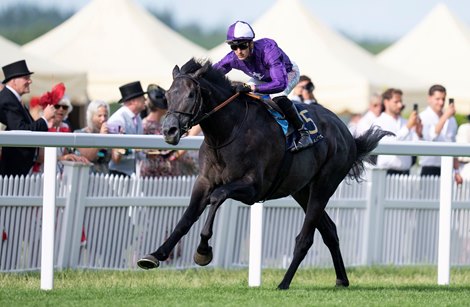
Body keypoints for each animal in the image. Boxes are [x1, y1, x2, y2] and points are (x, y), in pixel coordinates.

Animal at [137, 58, 392, 292]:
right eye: (167, 95)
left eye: (191, 95)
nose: (169, 131)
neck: (226, 132)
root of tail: (347, 133)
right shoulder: (204, 181)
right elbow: (187, 218)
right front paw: (155, 255)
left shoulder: (252, 187)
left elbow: (217, 197)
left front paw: (203, 251)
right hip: (302, 190)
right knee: (329, 231)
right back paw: (341, 279)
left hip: (324, 185)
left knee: (305, 238)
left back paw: (284, 282)